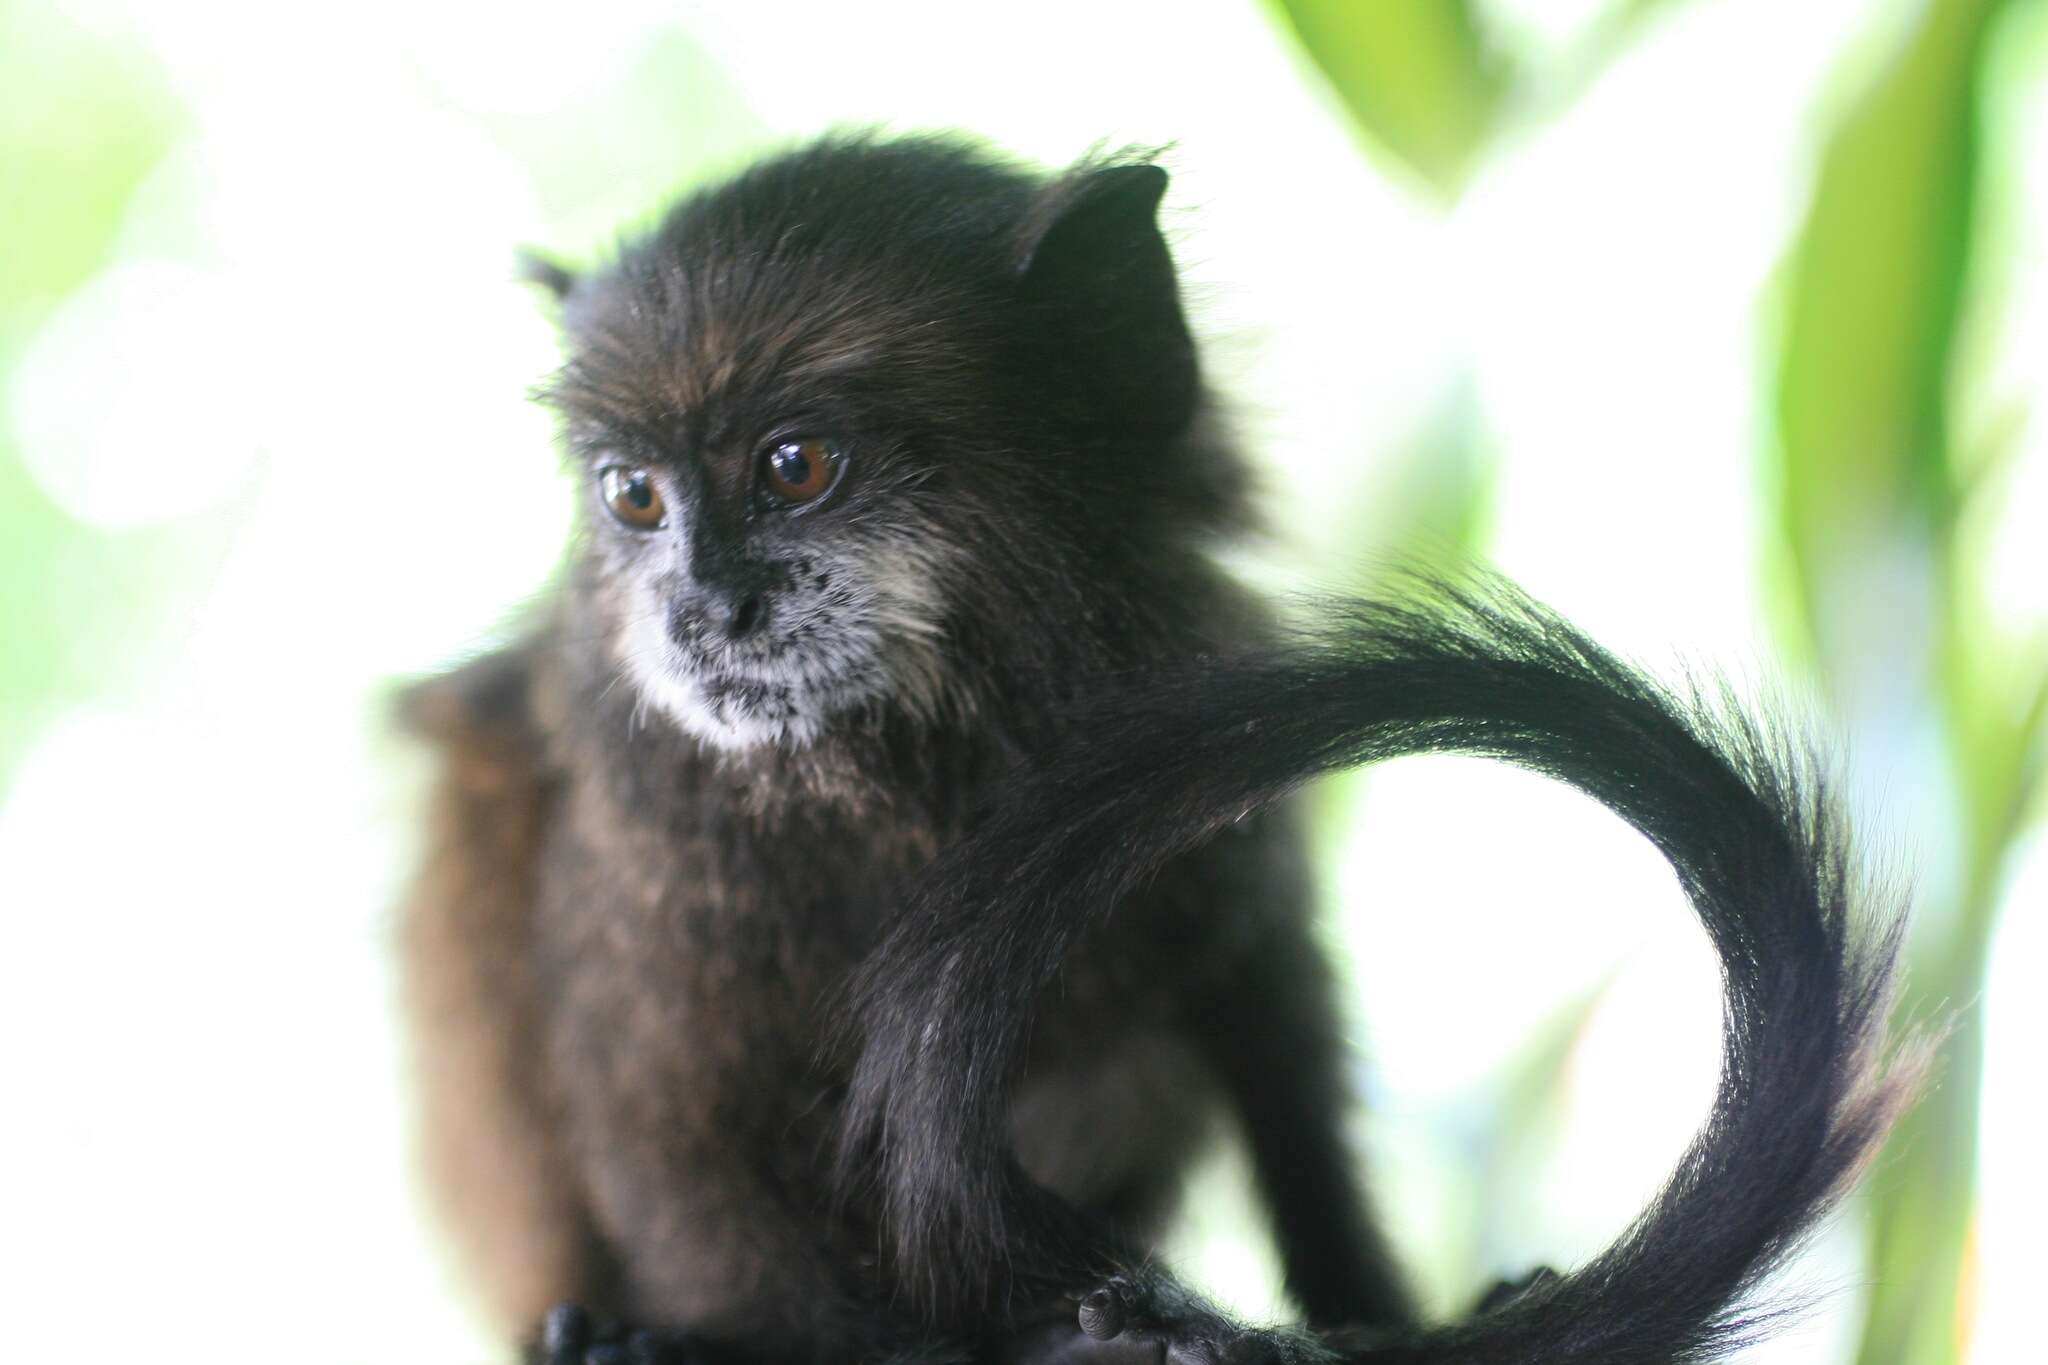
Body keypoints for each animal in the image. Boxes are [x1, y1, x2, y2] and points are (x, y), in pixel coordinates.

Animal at [399, 136, 1916, 1365]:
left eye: (793, 467)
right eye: (634, 496)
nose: (699, 608)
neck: (914, 781)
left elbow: (1275, 1041)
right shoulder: (660, 859)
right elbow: (675, 1144)